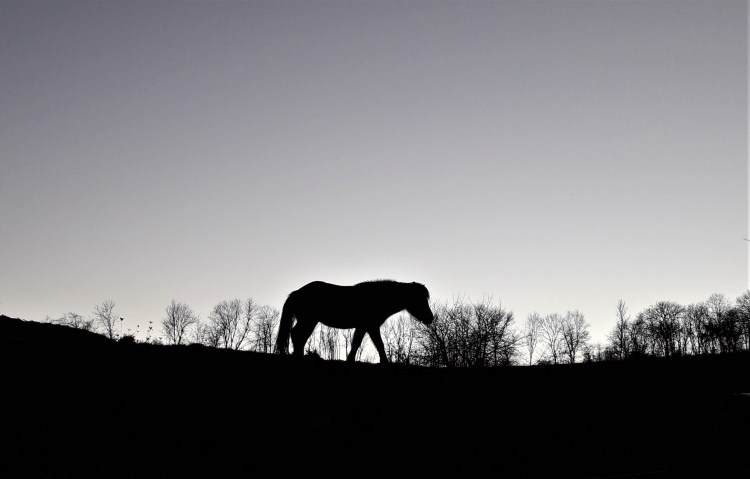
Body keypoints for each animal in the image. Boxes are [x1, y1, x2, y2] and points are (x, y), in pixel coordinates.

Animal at [274, 279, 434, 363]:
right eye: (419, 299)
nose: (430, 318)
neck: (378, 298)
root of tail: (296, 292)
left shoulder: (364, 327)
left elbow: (358, 343)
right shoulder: (370, 326)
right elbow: (378, 344)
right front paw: (384, 362)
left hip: (309, 321)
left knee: (299, 336)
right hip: (309, 320)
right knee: (297, 335)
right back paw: (298, 357)